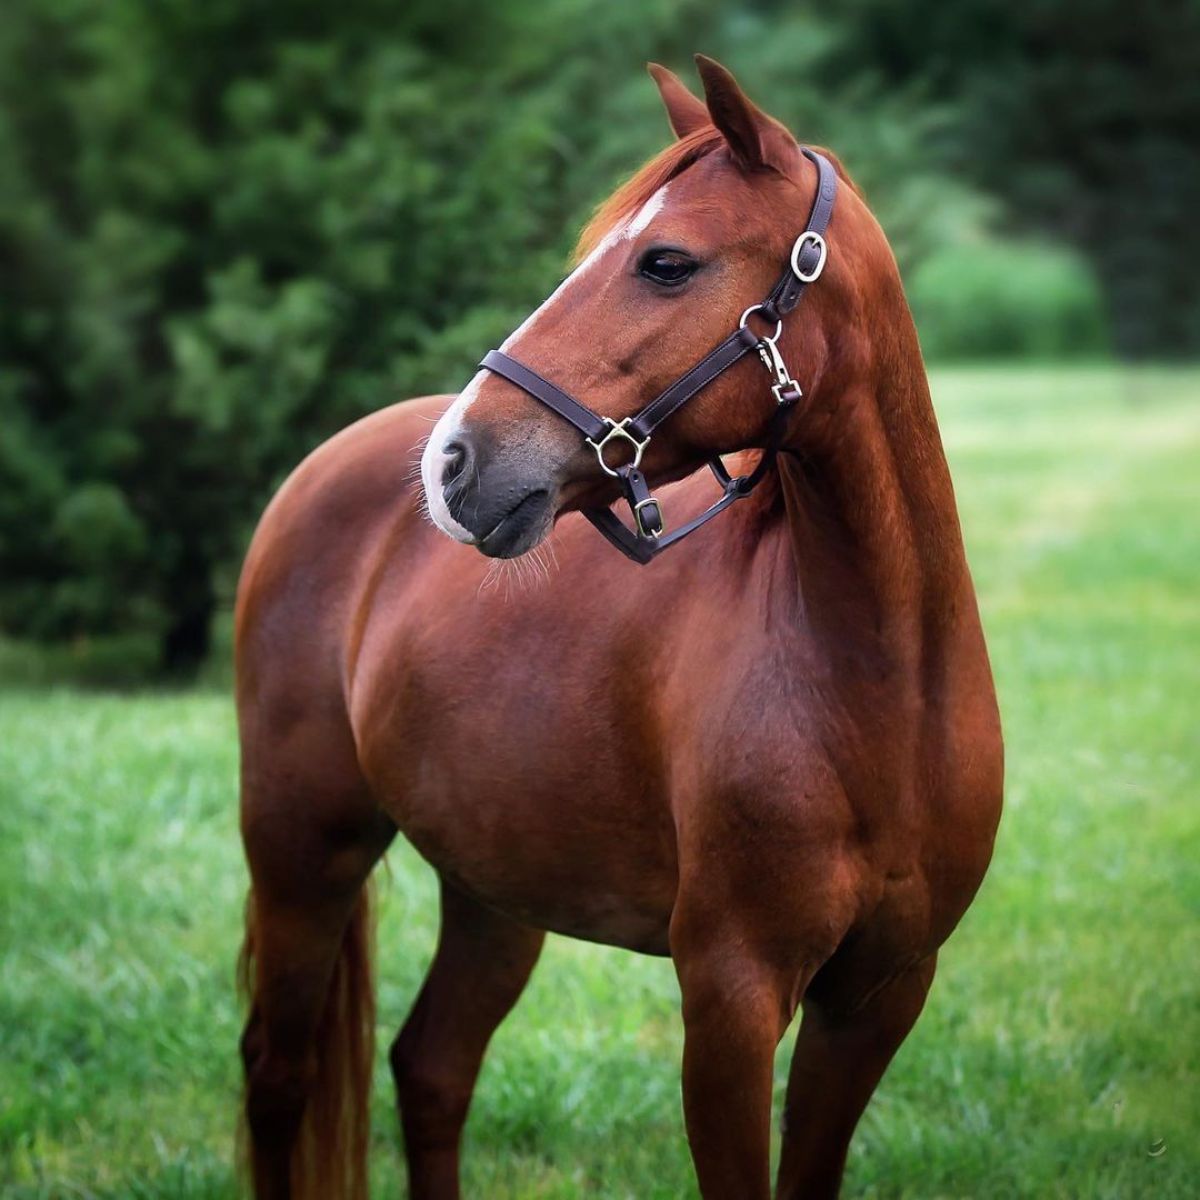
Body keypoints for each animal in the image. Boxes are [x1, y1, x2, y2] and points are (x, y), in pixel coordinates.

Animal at [234, 54, 1003, 1200]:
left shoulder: (877, 998)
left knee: (432, 1066)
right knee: (279, 1076)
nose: (455, 462)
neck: (880, 689)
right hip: (304, 858)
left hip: (493, 889)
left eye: (666, 262)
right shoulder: (730, 999)